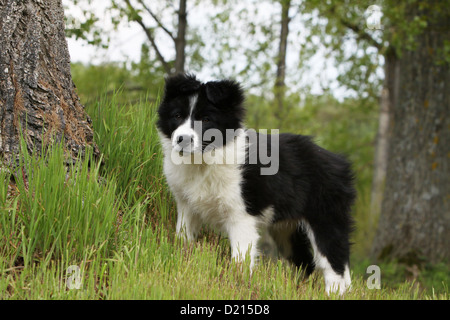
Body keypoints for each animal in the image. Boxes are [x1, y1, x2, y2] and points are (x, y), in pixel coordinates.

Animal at [156, 74, 356, 294]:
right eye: (177, 116)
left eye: (207, 119)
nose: (182, 140)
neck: (204, 161)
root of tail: (340, 162)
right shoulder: (187, 206)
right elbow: (183, 239)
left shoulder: (241, 215)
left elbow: (241, 258)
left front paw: (237, 285)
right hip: (286, 227)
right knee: (304, 262)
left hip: (326, 217)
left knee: (336, 264)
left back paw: (335, 293)